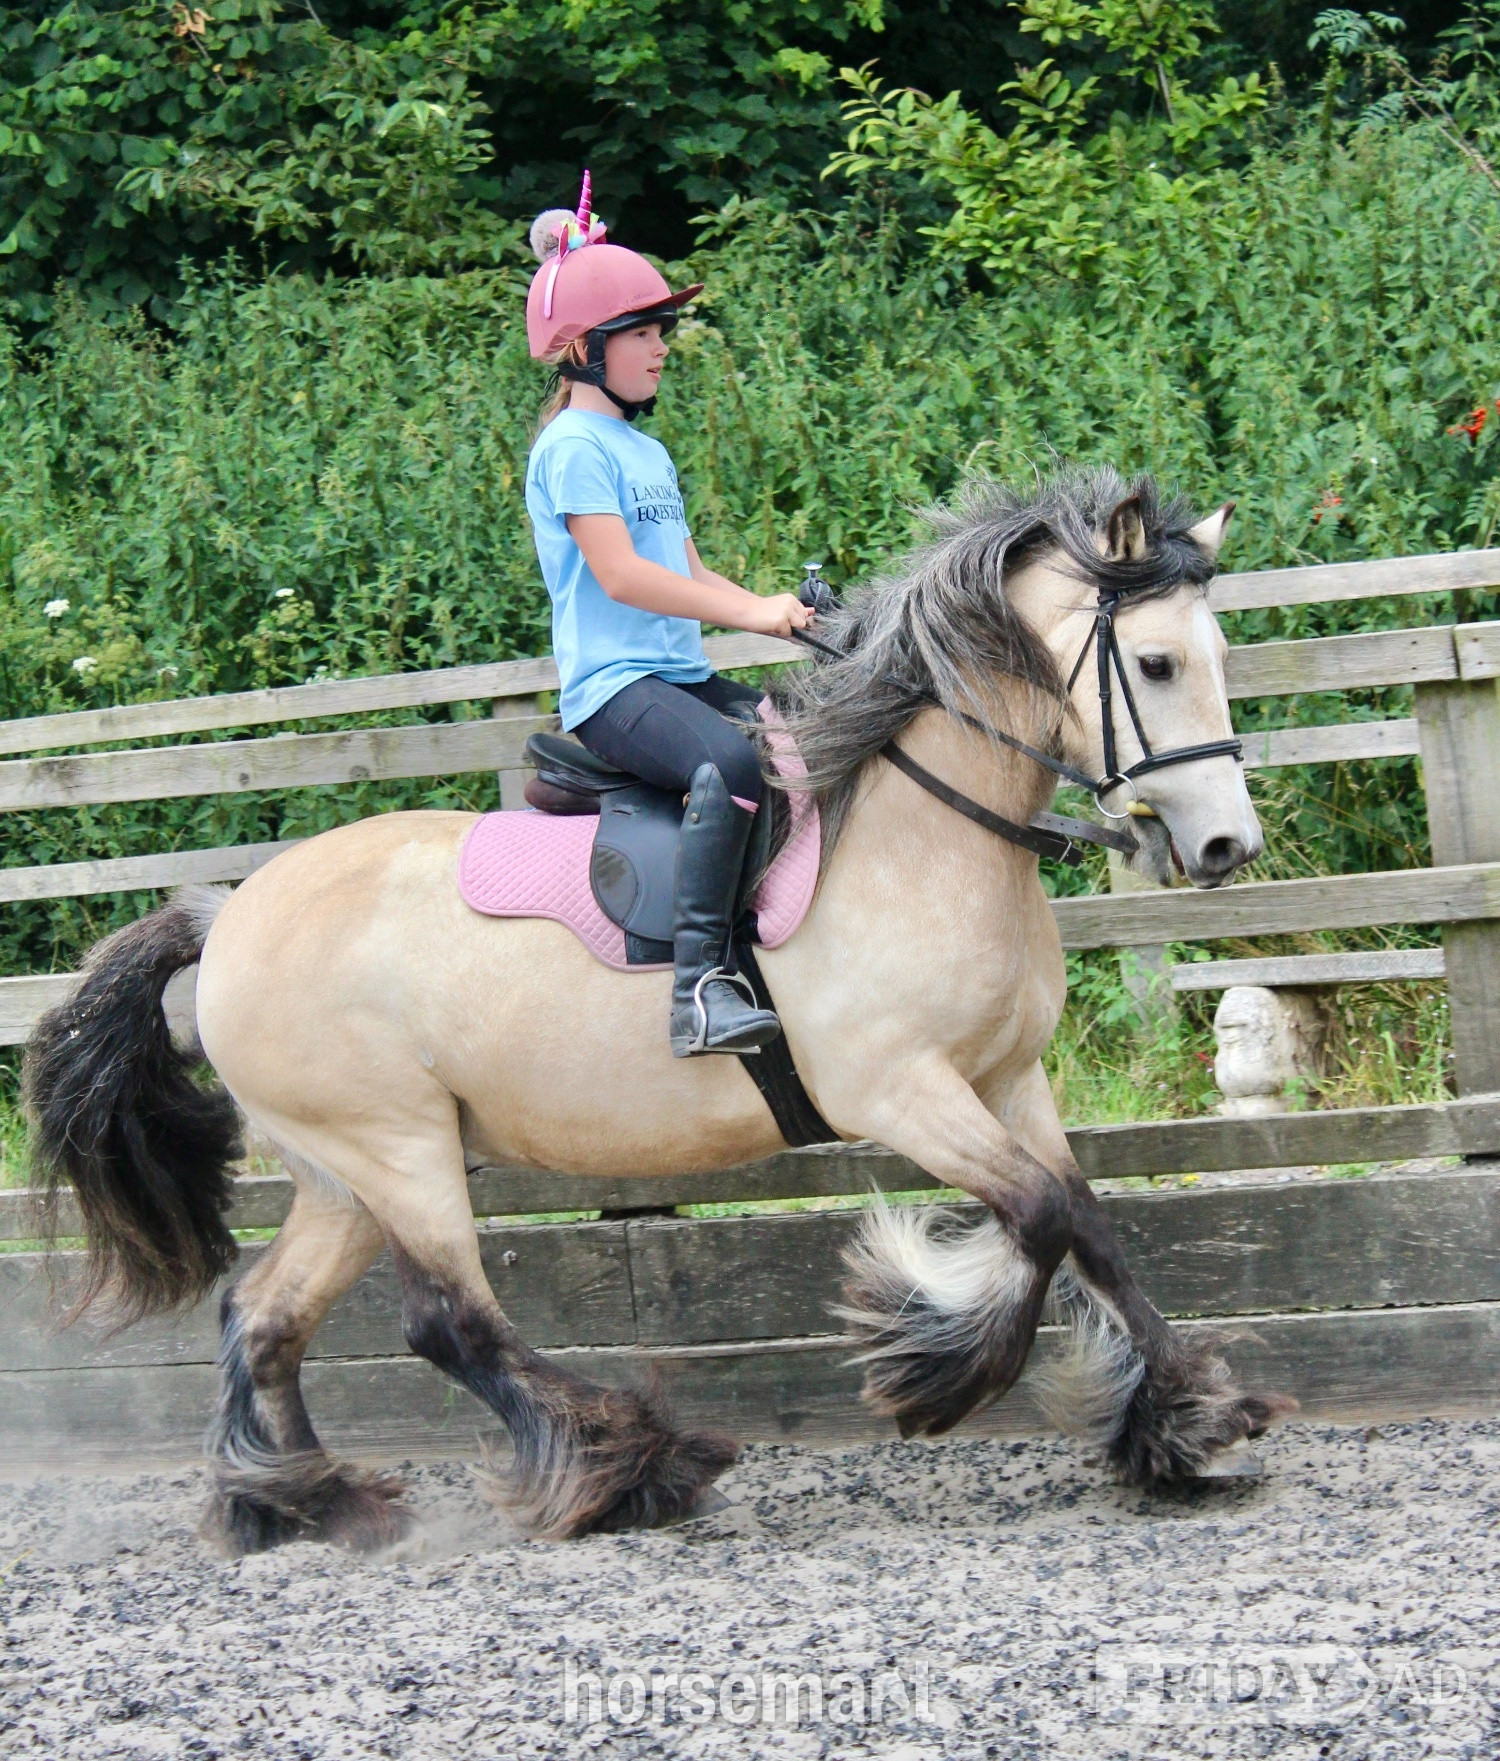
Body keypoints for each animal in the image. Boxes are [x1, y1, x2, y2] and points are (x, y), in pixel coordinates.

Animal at [23, 465, 1296, 1553]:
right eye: (1158, 664)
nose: (1226, 848)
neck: (926, 831)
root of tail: (227, 916)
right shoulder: (899, 1090)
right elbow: (1035, 1217)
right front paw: (938, 1361)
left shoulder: (1004, 1080)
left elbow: (1083, 1225)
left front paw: (1183, 1419)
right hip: (394, 1148)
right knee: (448, 1322)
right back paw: (627, 1469)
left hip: (342, 1175)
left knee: (265, 1317)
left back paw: (296, 1502)